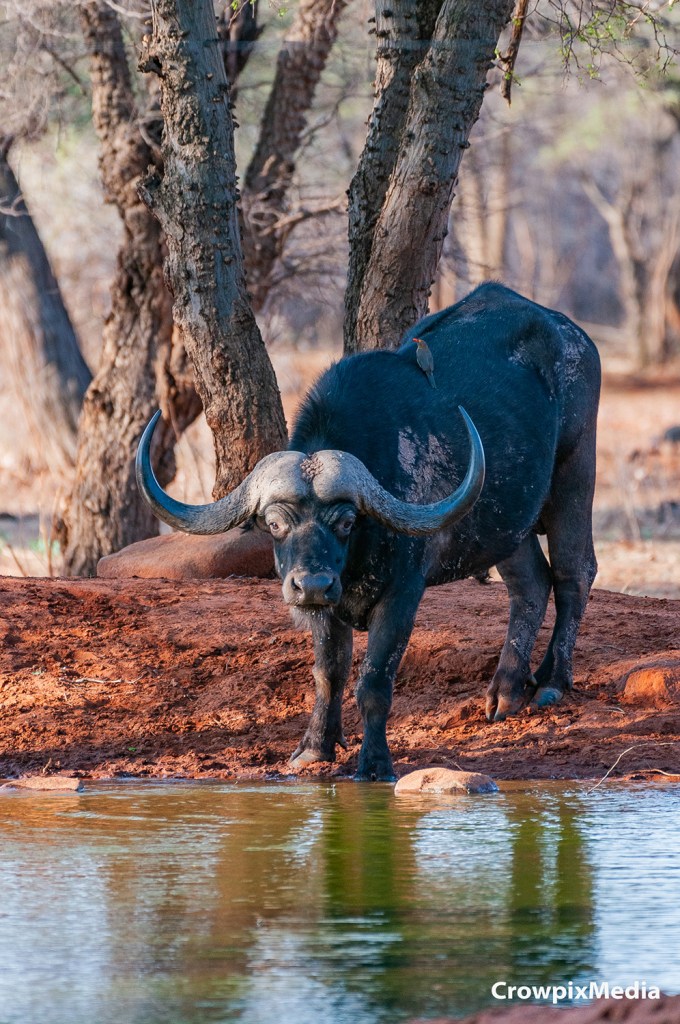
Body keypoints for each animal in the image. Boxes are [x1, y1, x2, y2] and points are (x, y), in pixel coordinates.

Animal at [136, 283, 600, 781]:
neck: (357, 556)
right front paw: (314, 748)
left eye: (345, 520)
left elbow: (374, 680)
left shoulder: (403, 594)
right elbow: (329, 674)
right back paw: (507, 690)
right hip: (505, 521)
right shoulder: (324, 607)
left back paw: (552, 682)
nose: (312, 583)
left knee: (574, 573)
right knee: (530, 583)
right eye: (275, 523)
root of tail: (572, 334)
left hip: (575, 475)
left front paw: (374, 763)